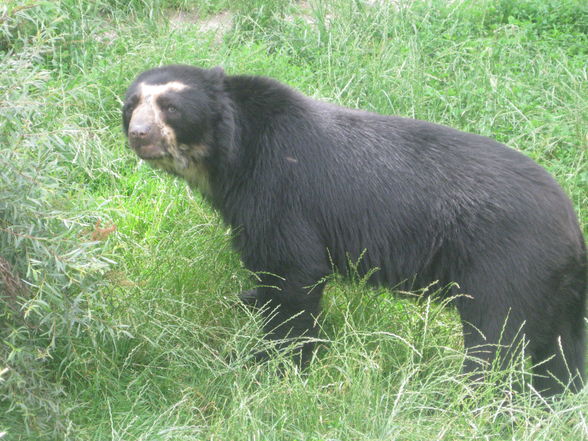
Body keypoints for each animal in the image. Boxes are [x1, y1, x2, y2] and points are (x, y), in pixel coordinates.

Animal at [121, 64, 584, 396]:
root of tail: (571, 223)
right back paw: (554, 397)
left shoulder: (278, 191)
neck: (230, 157)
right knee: (562, 350)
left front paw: (273, 364)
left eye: (171, 107)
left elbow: (293, 273)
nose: (138, 134)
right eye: (132, 104)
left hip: (506, 265)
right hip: (555, 289)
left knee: (495, 339)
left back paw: (467, 395)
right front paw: (251, 306)